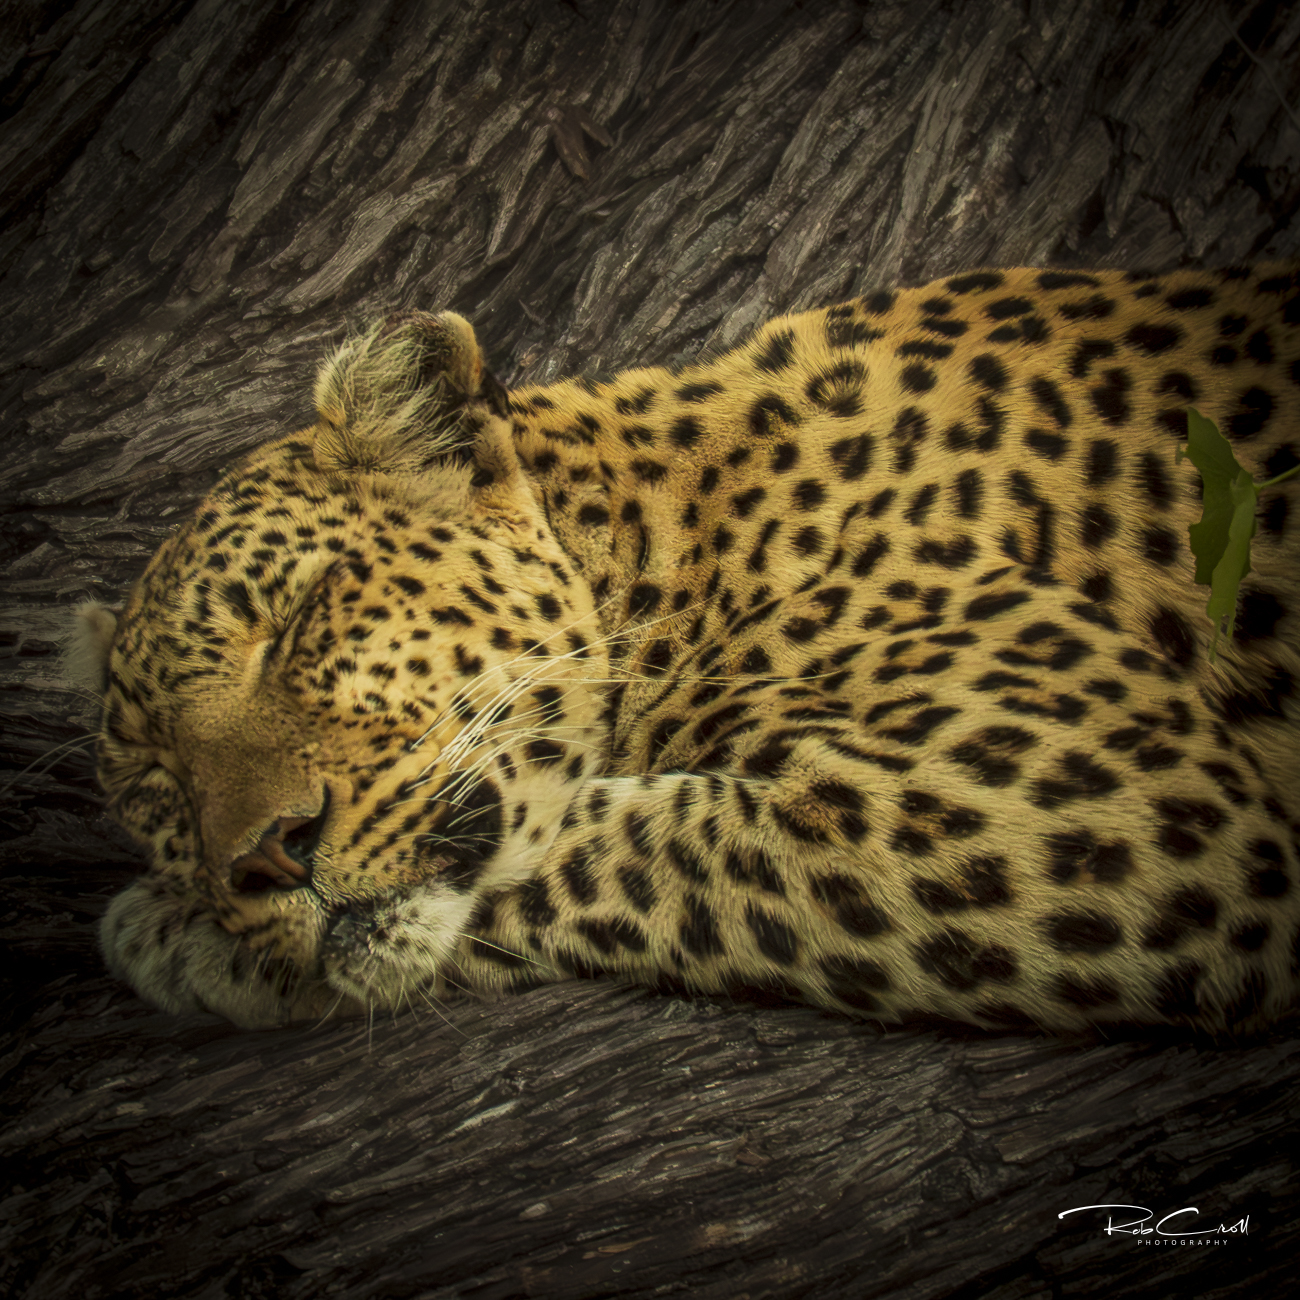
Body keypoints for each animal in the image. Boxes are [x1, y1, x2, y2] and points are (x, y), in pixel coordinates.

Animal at [72, 262, 1300, 1034]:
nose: (263, 859)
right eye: (154, 782)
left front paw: (176, 937)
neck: (673, 538)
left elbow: (635, 838)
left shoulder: (1074, 799)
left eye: (297, 619)